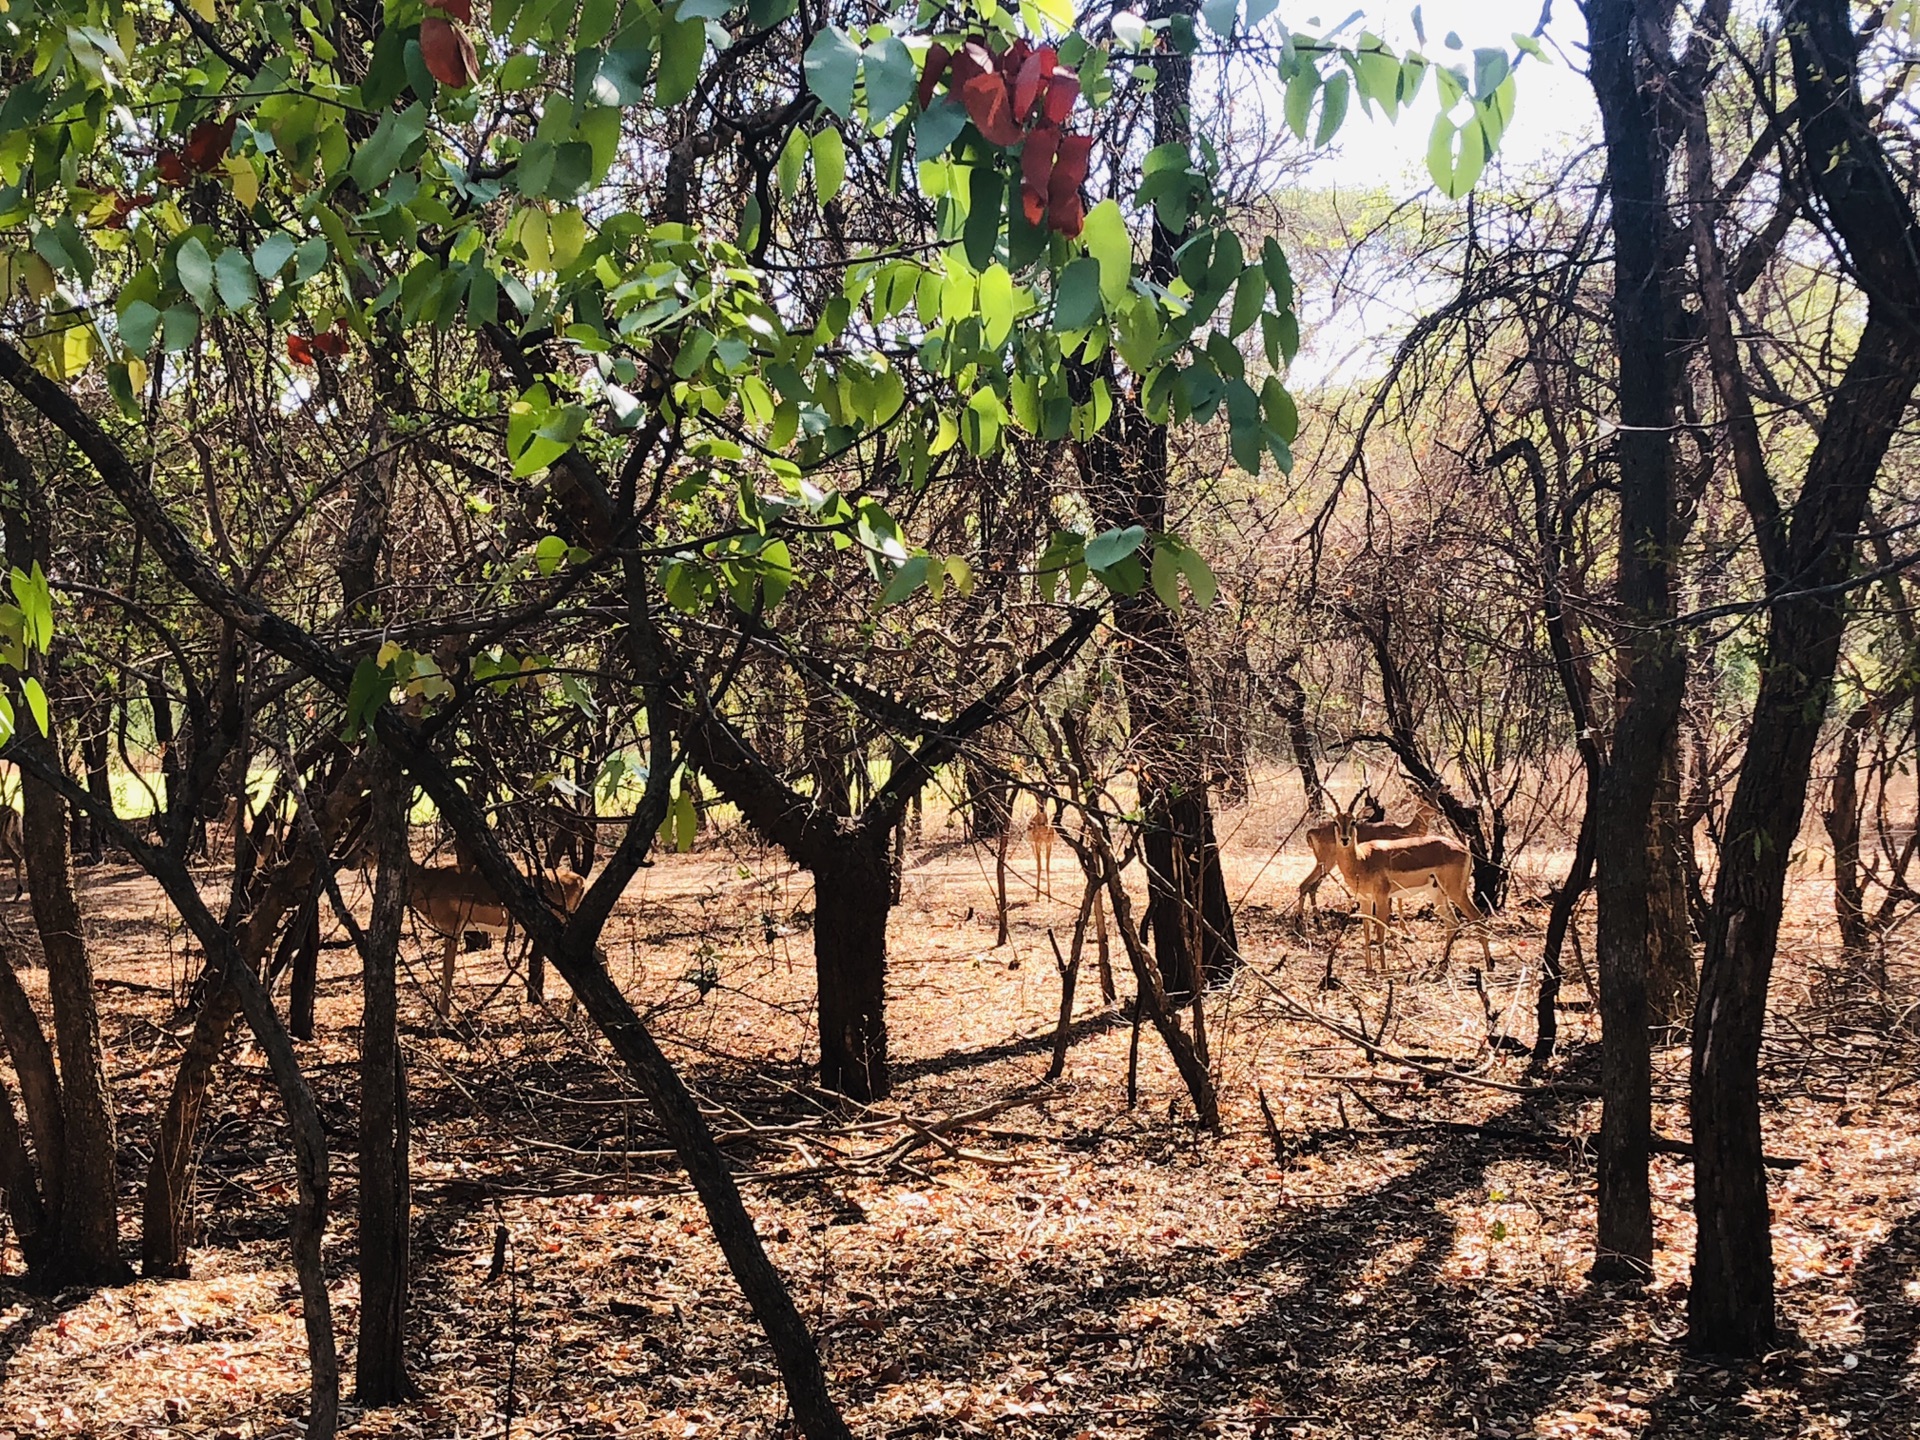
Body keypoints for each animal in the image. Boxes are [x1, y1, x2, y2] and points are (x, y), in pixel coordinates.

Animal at [1297, 791, 1436, 925]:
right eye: (1424, 797)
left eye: (1435, 794)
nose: (1438, 810)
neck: (1404, 830)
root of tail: (1312, 831)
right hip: (1326, 863)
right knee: (1305, 885)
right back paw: (1303, 918)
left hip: (1325, 865)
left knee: (1311, 886)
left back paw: (1315, 919)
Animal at [1328, 794, 1489, 975]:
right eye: (1336, 822)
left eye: (1353, 821)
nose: (1345, 839)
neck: (1362, 859)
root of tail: (1464, 849)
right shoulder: (1365, 899)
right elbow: (1367, 930)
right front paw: (1369, 969)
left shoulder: (1381, 896)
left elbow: (1380, 929)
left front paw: (1383, 968)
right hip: (1437, 893)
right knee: (1453, 923)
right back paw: (1442, 965)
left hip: (1456, 892)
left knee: (1478, 918)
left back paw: (1489, 966)